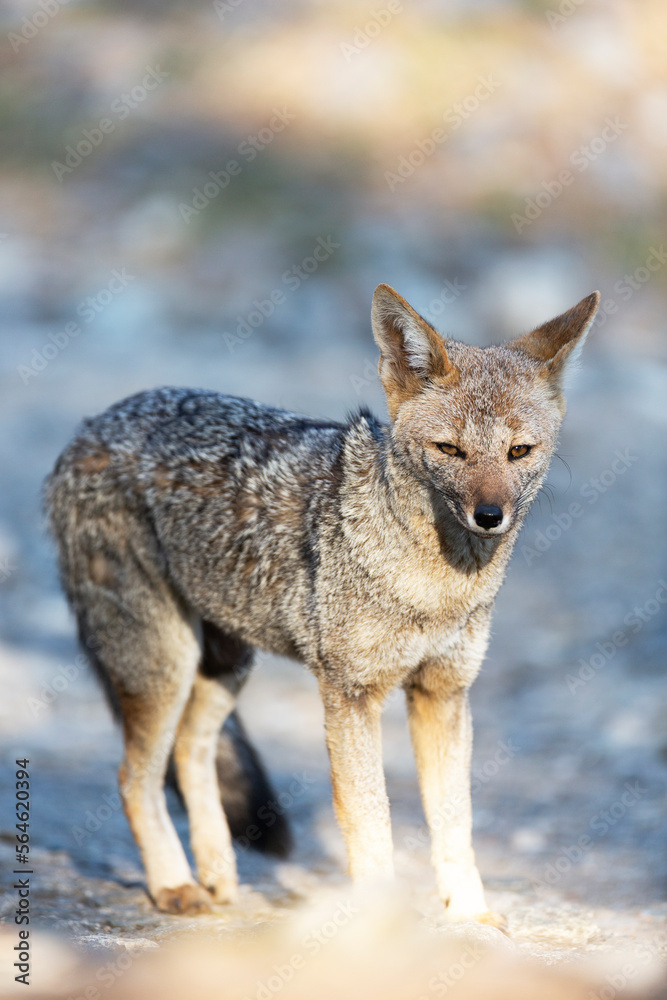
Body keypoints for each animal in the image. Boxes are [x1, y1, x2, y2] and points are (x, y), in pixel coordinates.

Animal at [45, 282, 600, 922]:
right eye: (450, 449)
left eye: (518, 451)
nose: (490, 515)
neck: (436, 586)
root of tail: (88, 425)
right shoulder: (350, 693)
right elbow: (371, 823)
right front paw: (385, 923)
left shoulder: (443, 692)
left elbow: (454, 822)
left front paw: (469, 914)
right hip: (165, 665)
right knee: (134, 777)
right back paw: (174, 884)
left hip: (226, 665)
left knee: (189, 751)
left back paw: (218, 876)